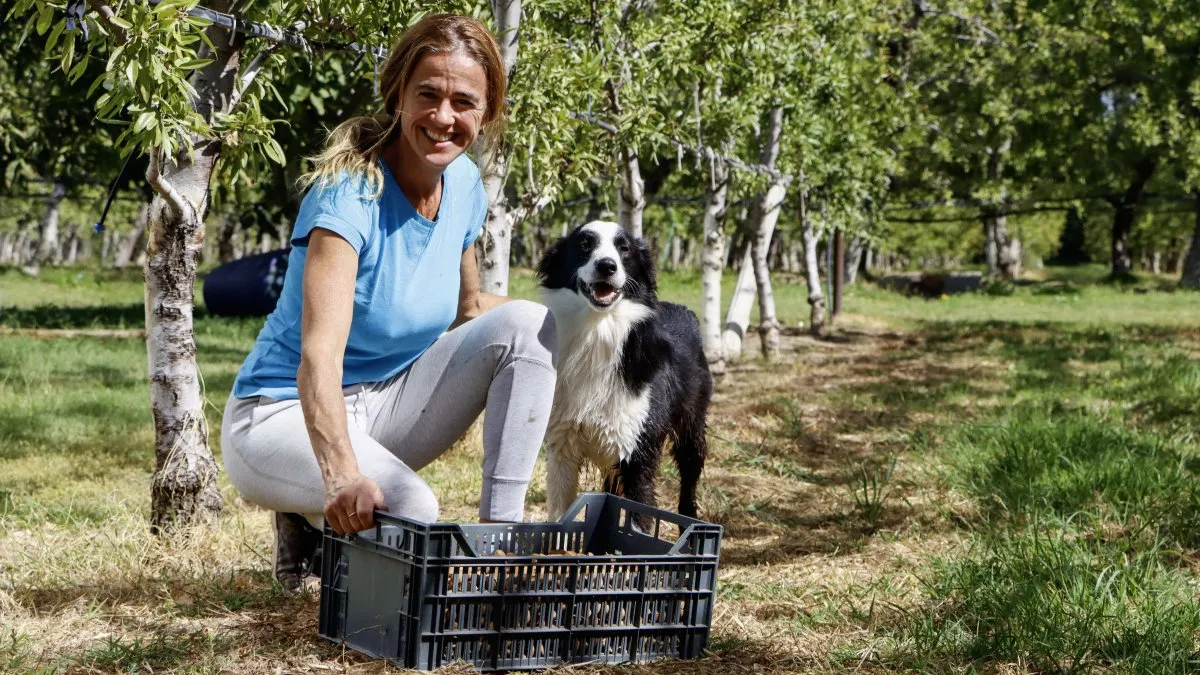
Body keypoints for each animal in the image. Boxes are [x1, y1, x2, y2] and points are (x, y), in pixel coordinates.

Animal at [537, 218, 710, 523]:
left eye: (624, 249)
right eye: (585, 244)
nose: (607, 266)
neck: (598, 329)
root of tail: (683, 309)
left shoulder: (638, 455)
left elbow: (640, 517)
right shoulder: (562, 447)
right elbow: (558, 517)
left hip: (691, 430)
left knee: (688, 485)